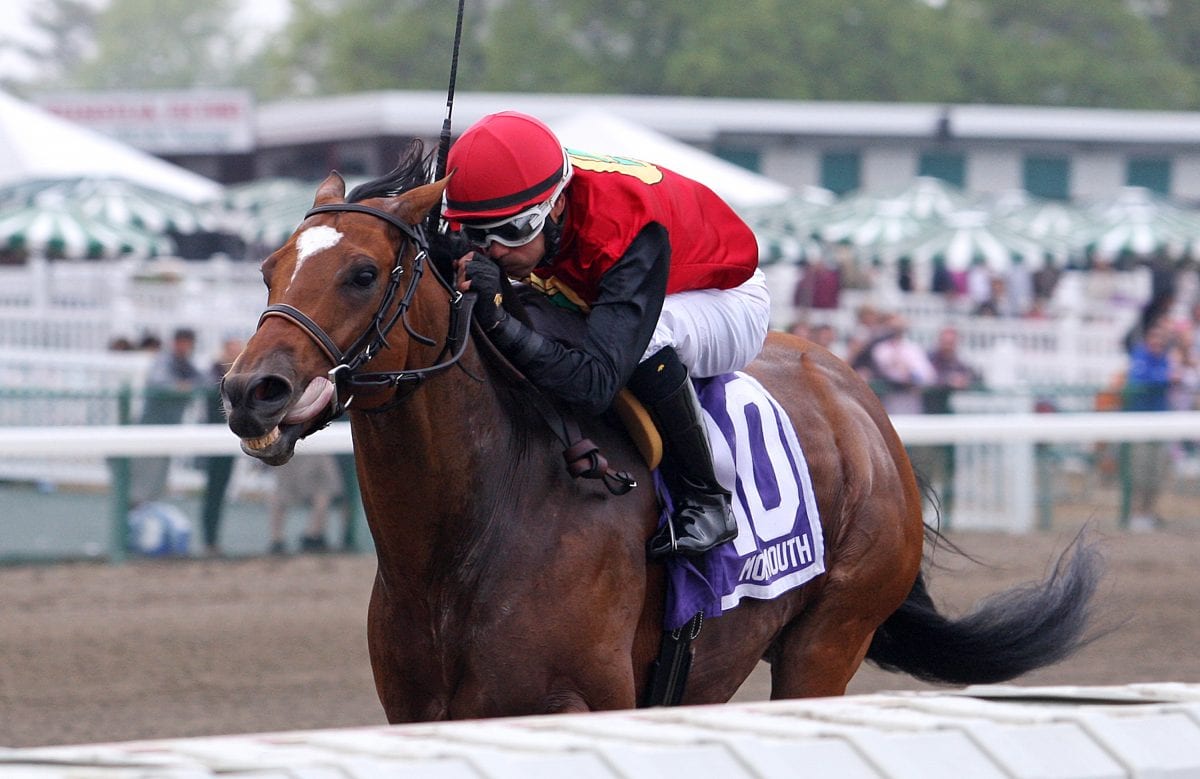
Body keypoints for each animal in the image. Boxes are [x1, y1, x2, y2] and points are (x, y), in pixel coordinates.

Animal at [220, 144, 1099, 715]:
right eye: (269, 267)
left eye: (363, 272)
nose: (249, 390)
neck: (465, 535)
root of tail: (863, 402)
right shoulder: (419, 711)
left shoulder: (579, 701)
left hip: (829, 637)